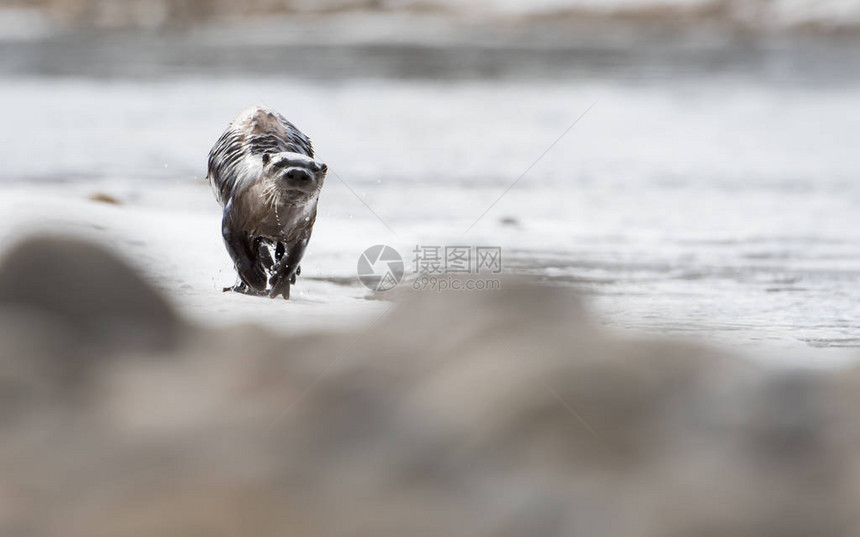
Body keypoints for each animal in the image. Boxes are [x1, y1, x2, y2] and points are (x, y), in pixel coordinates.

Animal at [207, 104, 328, 298]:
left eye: (315, 169)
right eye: (279, 163)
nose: (298, 173)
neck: (273, 223)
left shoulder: (305, 227)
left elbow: (294, 256)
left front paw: (280, 281)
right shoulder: (234, 214)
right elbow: (235, 247)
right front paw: (256, 279)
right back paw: (244, 285)